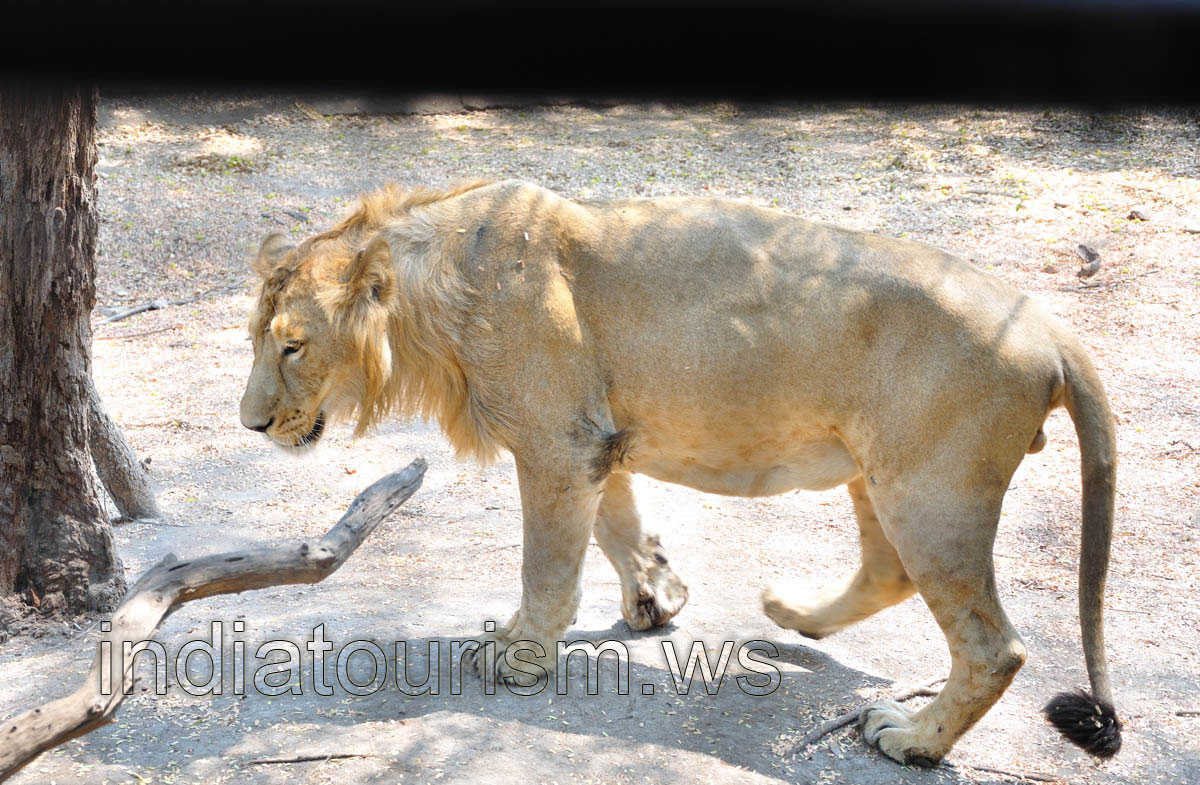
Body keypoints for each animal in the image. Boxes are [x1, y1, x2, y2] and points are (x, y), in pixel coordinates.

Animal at [239, 179, 1121, 766]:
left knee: (995, 646)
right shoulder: (593, 440)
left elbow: (547, 564)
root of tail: (1049, 326)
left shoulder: (558, 443)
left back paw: (910, 738)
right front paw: (656, 600)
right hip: (882, 473)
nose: (250, 423)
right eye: (256, 338)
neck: (434, 290)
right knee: (889, 572)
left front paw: (520, 655)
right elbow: (618, 528)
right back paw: (792, 613)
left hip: (932, 490)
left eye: (293, 346)